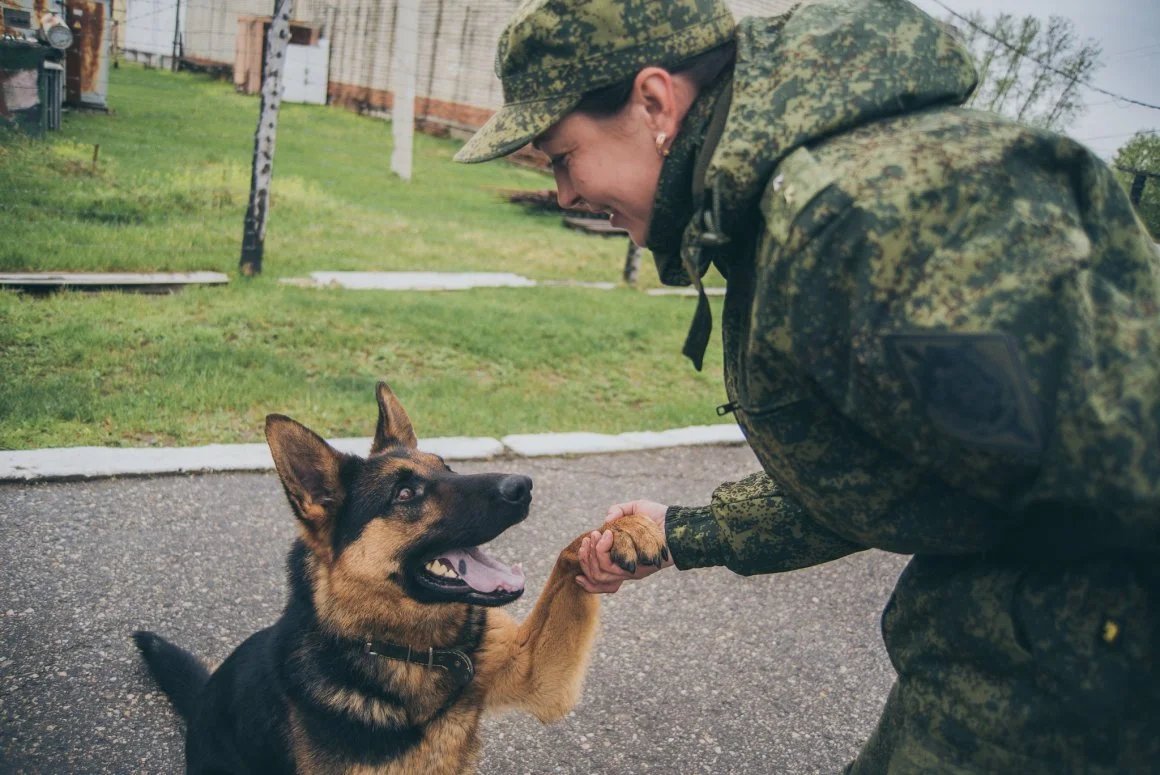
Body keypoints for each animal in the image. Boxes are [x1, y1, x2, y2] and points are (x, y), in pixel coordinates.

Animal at [131, 385, 668, 770]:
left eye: (448, 467)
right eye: (406, 493)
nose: (523, 486)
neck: (412, 650)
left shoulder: (537, 674)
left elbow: (571, 551)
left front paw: (630, 529)